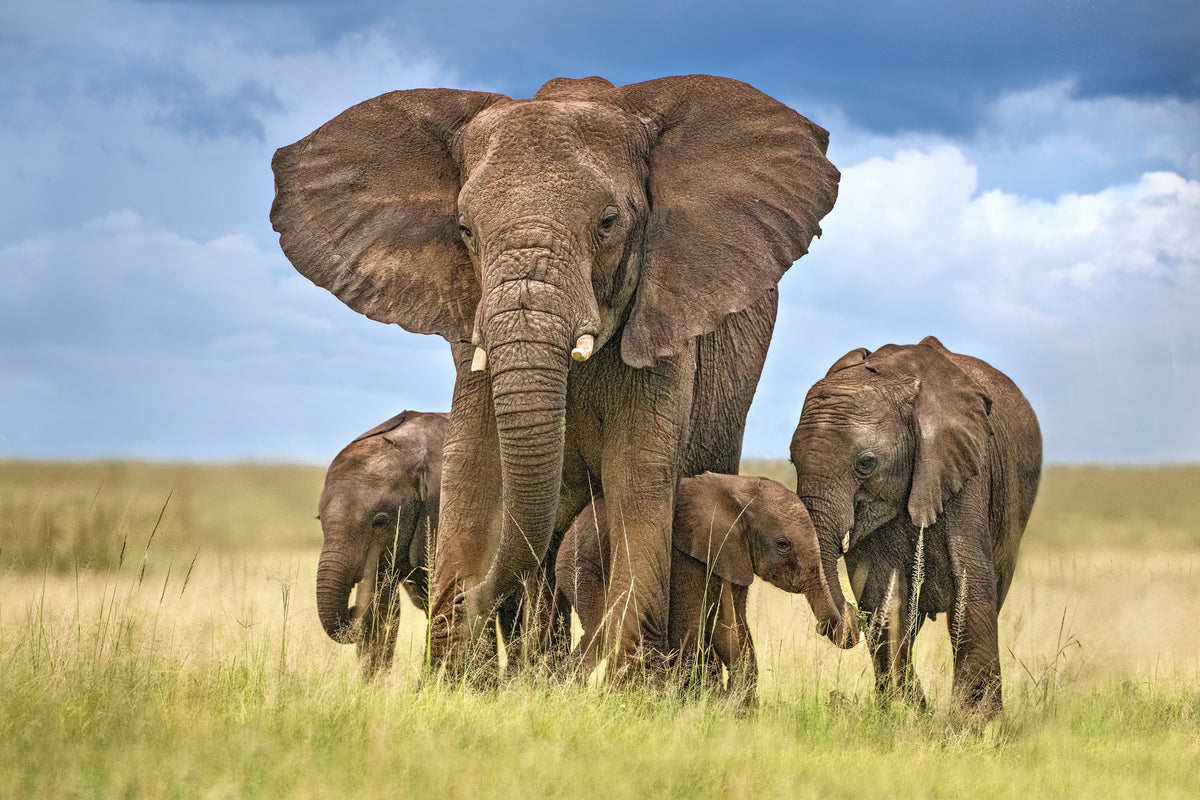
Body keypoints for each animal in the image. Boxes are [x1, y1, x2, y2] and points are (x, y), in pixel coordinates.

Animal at [271, 74, 841, 677]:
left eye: (609, 223)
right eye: (465, 230)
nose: (470, 597)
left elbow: (637, 482)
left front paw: (630, 689)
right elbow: (476, 472)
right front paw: (451, 683)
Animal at [555, 472, 843, 705]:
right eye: (783, 544)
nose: (823, 627)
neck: (739, 490)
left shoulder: (734, 556)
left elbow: (730, 627)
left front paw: (733, 708)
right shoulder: (685, 555)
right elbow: (692, 625)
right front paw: (706, 702)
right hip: (581, 568)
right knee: (601, 630)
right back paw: (565, 691)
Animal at [790, 336, 1042, 714]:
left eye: (866, 463)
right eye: (792, 460)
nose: (848, 616)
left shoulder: (966, 465)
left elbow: (970, 584)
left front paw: (976, 721)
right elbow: (882, 598)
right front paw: (907, 714)